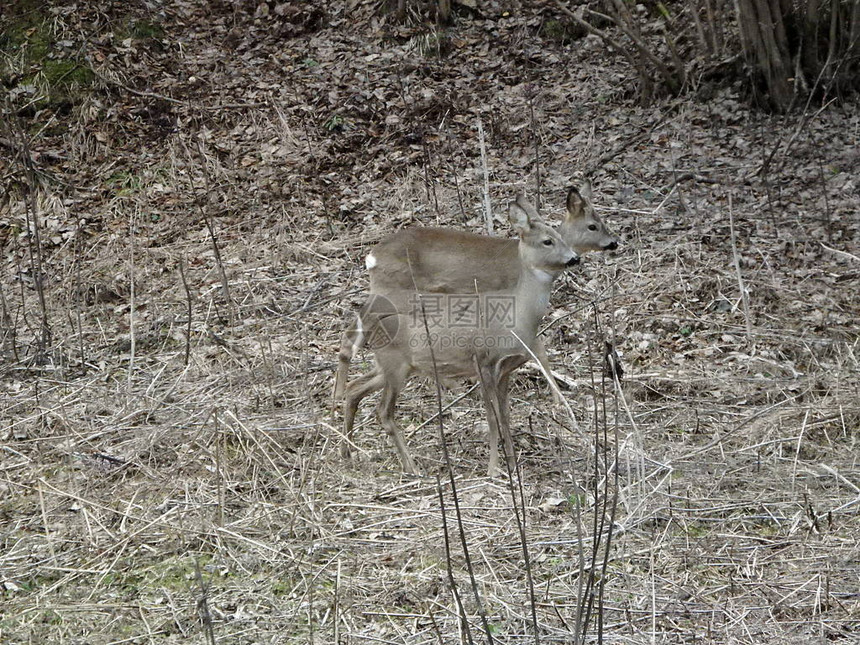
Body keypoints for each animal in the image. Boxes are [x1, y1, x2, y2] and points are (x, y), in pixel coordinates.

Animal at [332, 182, 620, 402]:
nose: (614, 242)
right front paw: (559, 398)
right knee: (356, 329)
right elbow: (536, 347)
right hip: (395, 292)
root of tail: (372, 256)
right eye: (593, 225)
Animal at [340, 199, 576, 476]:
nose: (574, 258)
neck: (517, 317)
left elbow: (505, 416)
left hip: (394, 367)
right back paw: (412, 468)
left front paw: (512, 464)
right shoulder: (482, 362)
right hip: (394, 365)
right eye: (547, 241)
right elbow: (492, 418)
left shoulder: (507, 368)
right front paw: (493, 469)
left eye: (562, 236)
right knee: (383, 411)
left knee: (355, 389)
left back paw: (347, 453)